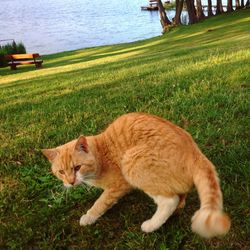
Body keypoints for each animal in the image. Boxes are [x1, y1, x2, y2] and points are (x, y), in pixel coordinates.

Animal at [41, 113, 230, 238]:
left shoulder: (118, 186)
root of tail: (195, 152)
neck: (101, 154)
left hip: (131, 160)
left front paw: (88, 217)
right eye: (61, 172)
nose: (71, 182)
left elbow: (100, 203)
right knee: (180, 198)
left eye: (77, 167)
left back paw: (151, 225)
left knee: (170, 200)